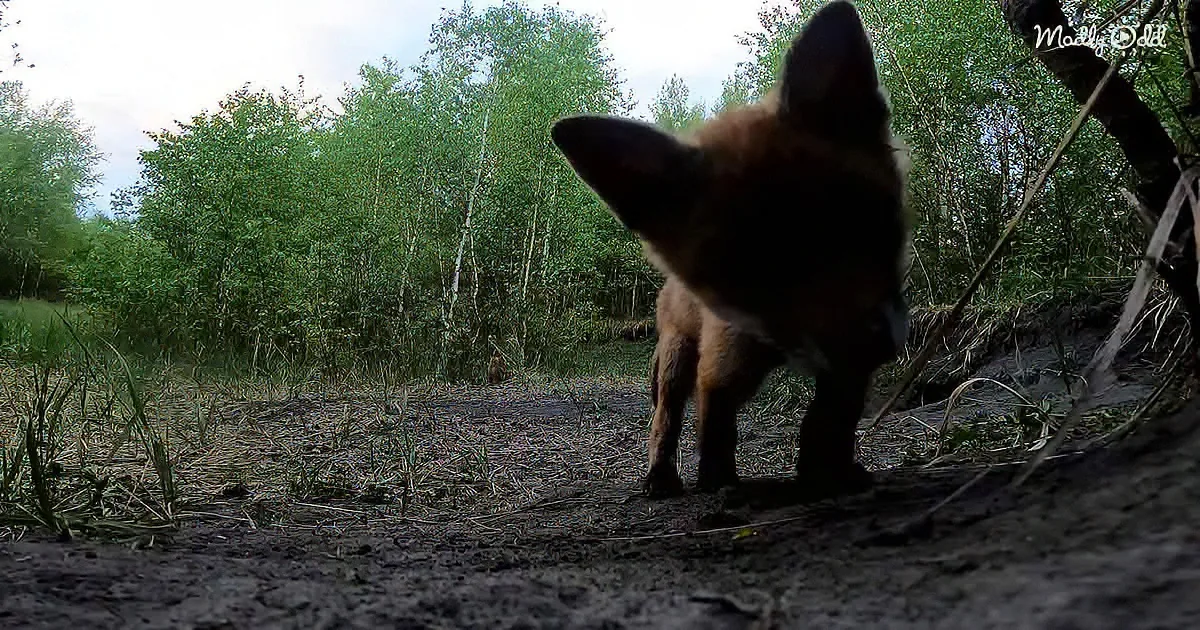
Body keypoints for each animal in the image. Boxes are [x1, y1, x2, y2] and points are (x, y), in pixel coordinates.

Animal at [550, 0, 910, 498]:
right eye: (748, 269)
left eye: (864, 220)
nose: (869, 342)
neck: (778, 345)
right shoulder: (722, 364)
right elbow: (716, 430)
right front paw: (719, 482)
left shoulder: (842, 368)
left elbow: (830, 418)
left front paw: (826, 472)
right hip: (676, 359)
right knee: (664, 420)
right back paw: (661, 477)